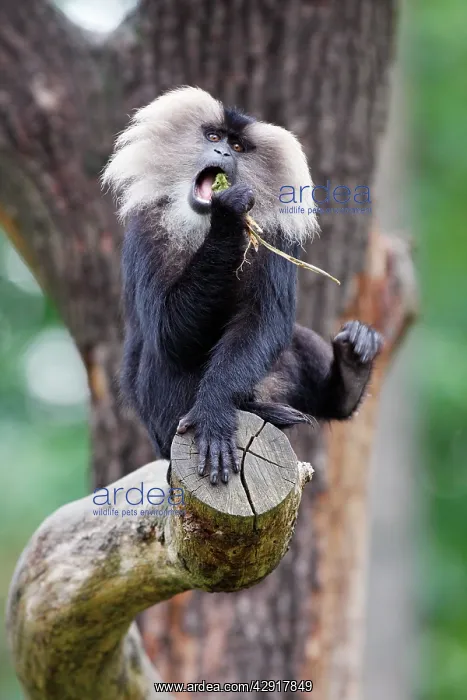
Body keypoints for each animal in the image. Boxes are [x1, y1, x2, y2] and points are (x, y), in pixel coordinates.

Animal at [102, 86, 382, 486]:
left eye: (237, 146)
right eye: (213, 137)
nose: (222, 154)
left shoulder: (278, 237)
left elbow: (262, 321)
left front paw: (215, 413)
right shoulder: (148, 226)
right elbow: (168, 334)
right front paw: (229, 215)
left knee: (295, 339)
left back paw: (351, 369)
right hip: (164, 430)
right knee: (162, 356)